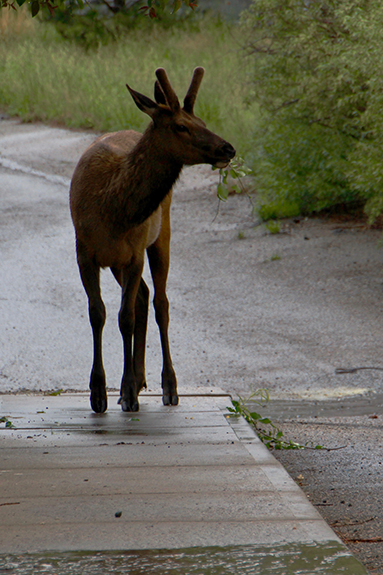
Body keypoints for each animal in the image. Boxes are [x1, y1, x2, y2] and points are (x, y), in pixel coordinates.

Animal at [70, 67, 236, 412]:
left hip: (161, 235)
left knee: (161, 302)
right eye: (182, 126)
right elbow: (98, 313)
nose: (228, 149)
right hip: (120, 260)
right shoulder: (84, 253)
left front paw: (128, 392)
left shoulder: (134, 253)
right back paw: (138, 380)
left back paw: (167, 386)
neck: (113, 210)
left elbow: (125, 318)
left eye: (203, 121)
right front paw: (99, 393)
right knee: (145, 296)